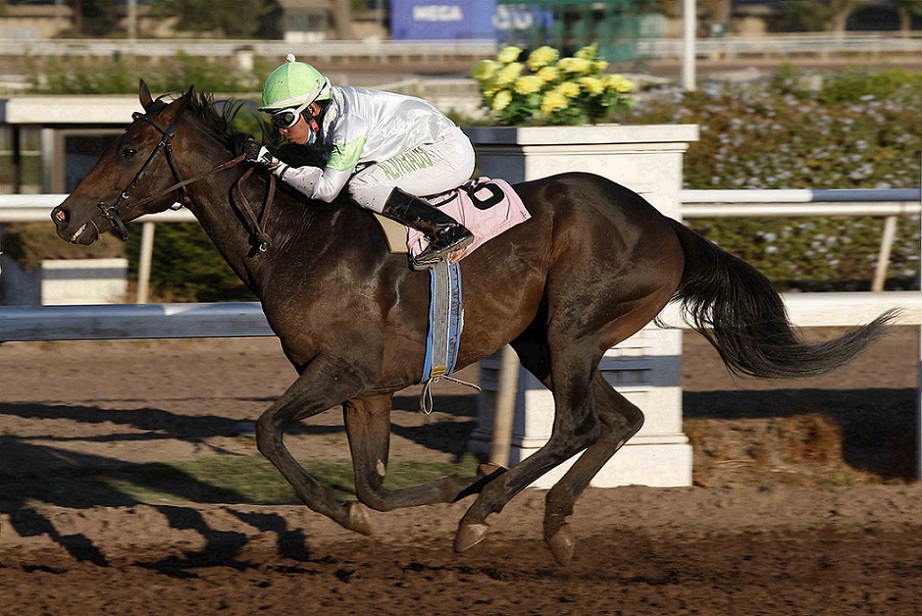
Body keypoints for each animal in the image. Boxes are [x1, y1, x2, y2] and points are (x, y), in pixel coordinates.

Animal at [51, 82, 894, 566]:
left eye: (128, 146)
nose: (62, 215)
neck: (294, 238)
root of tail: (665, 224)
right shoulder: (368, 388)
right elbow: (373, 485)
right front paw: (426, 492)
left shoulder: (340, 372)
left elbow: (266, 433)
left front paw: (434, 495)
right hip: (548, 340)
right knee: (620, 418)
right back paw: (550, 522)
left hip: (573, 325)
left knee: (577, 423)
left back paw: (485, 515)